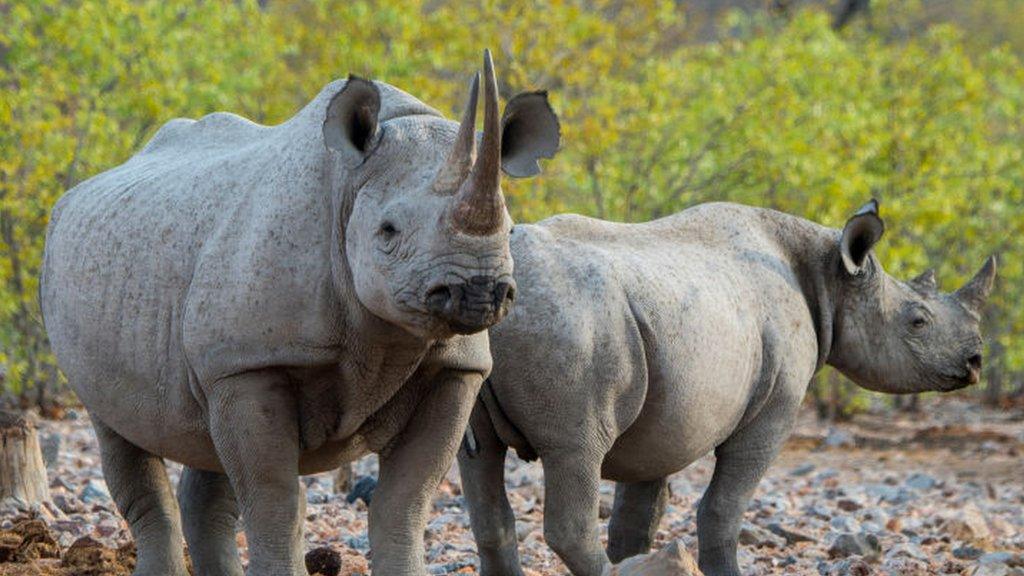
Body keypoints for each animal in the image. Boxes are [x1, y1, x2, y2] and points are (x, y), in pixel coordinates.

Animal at [39, 50, 561, 573]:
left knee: (205, 444)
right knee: (117, 429)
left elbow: (406, 502)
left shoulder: (455, 367)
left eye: (510, 231)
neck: (349, 185)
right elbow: (276, 500)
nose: (477, 290)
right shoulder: (251, 362)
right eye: (388, 231)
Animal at [460, 198, 995, 573]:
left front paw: (645, 563)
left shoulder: (663, 411)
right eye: (917, 321)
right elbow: (724, 506)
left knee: (479, 463)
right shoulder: (773, 408)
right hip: (572, 326)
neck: (831, 278)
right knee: (575, 451)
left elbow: (637, 517)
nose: (974, 363)